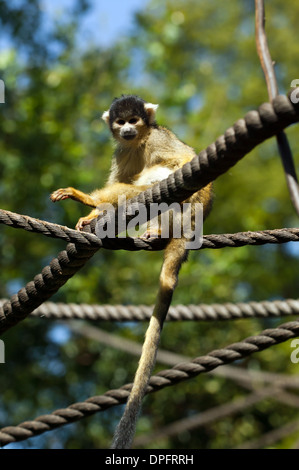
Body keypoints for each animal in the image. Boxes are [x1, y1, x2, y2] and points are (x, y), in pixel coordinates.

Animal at [51, 94, 213, 448]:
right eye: (120, 122)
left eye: (134, 121)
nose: (127, 130)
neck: (139, 141)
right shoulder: (122, 150)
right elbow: (121, 179)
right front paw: (93, 211)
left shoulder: (158, 138)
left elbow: (186, 160)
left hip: (184, 211)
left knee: (158, 179)